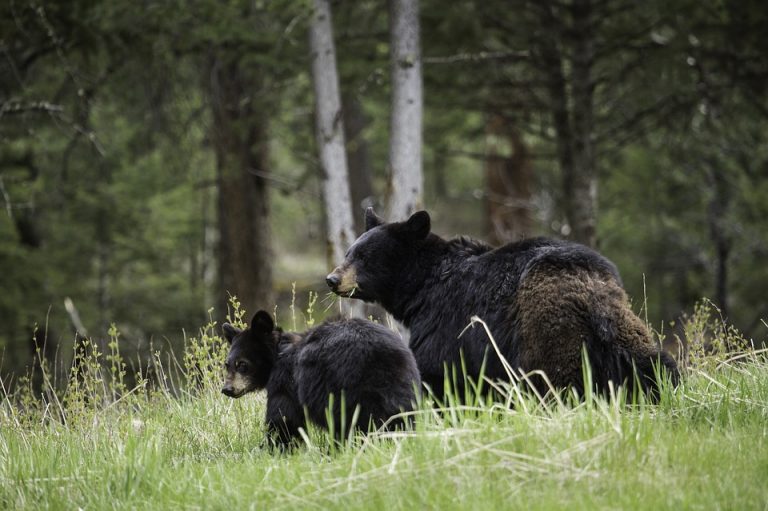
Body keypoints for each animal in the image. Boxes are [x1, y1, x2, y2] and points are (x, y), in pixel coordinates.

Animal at [221, 310, 420, 448]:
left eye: (242, 364)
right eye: (227, 364)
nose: (227, 389)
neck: (278, 353)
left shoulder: (286, 380)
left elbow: (284, 418)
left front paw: (271, 448)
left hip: (343, 388)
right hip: (404, 386)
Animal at [326, 208, 680, 401]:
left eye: (365, 256)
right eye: (349, 252)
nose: (332, 279)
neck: (422, 287)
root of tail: (592, 294)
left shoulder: (447, 321)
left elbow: (437, 371)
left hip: (548, 331)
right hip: (626, 331)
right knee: (655, 365)